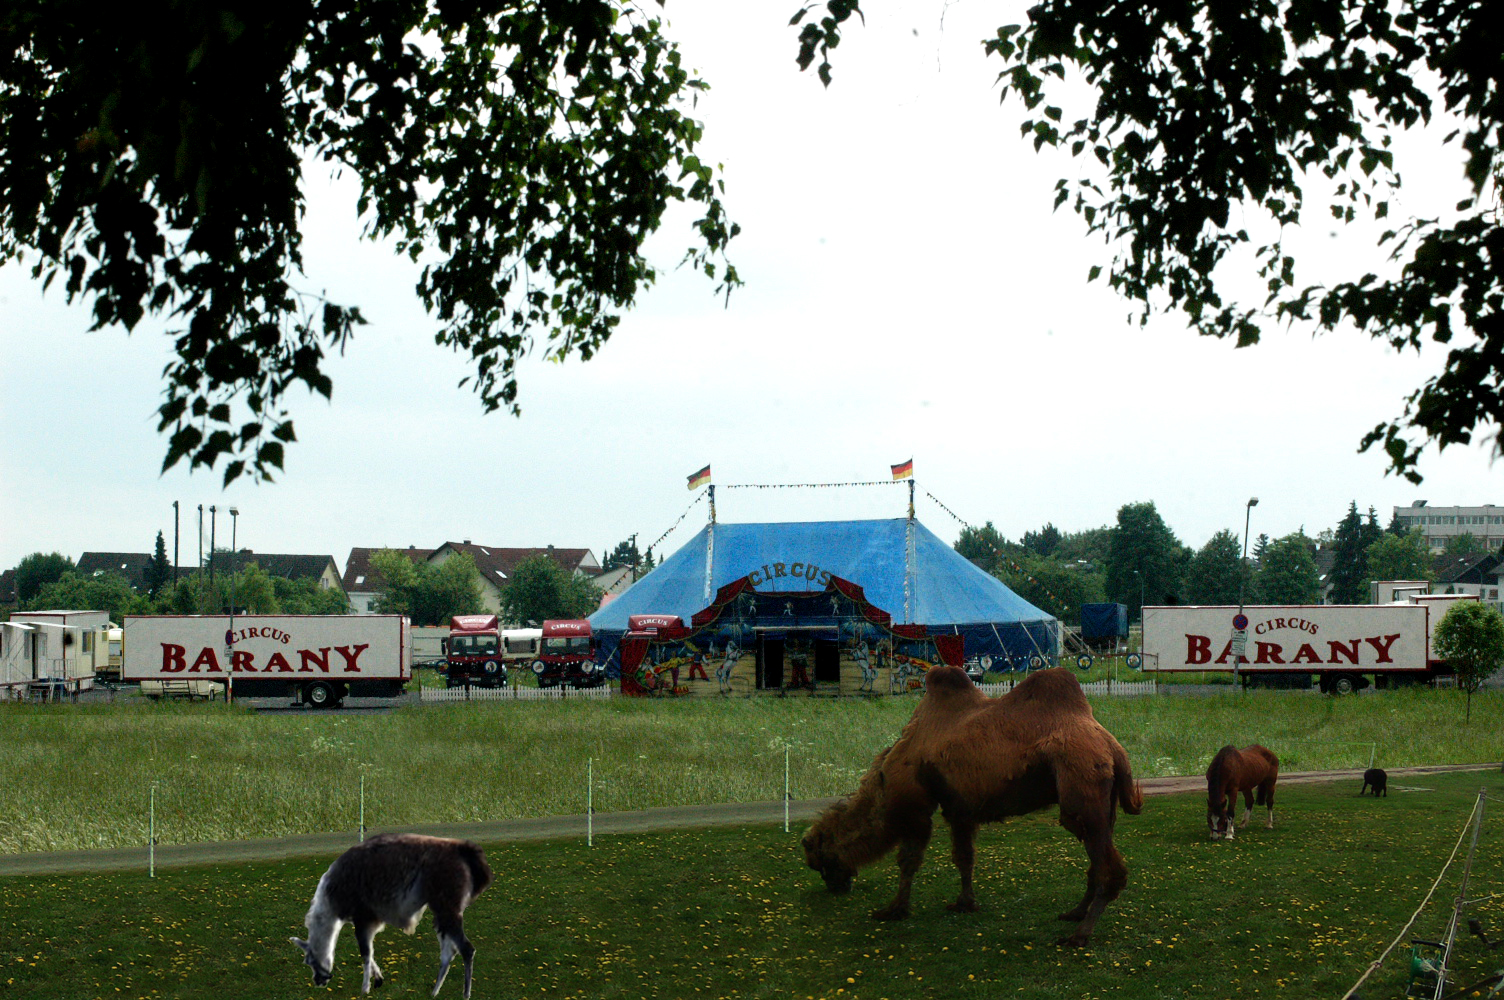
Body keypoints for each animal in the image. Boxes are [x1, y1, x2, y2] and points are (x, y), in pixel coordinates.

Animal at [800, 661, 1137, 944]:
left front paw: (893, 909)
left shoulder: (915, 807)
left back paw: (1080, 934)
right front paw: (964, 903)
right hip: (1101, 798)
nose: (837, 888)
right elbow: (963, 857)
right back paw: (1075, 913)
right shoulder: (959, 808)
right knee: (1097, 856)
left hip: (1079, 779)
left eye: (819, 859)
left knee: (1106, 863)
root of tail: (1113, 748)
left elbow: (908, 860)